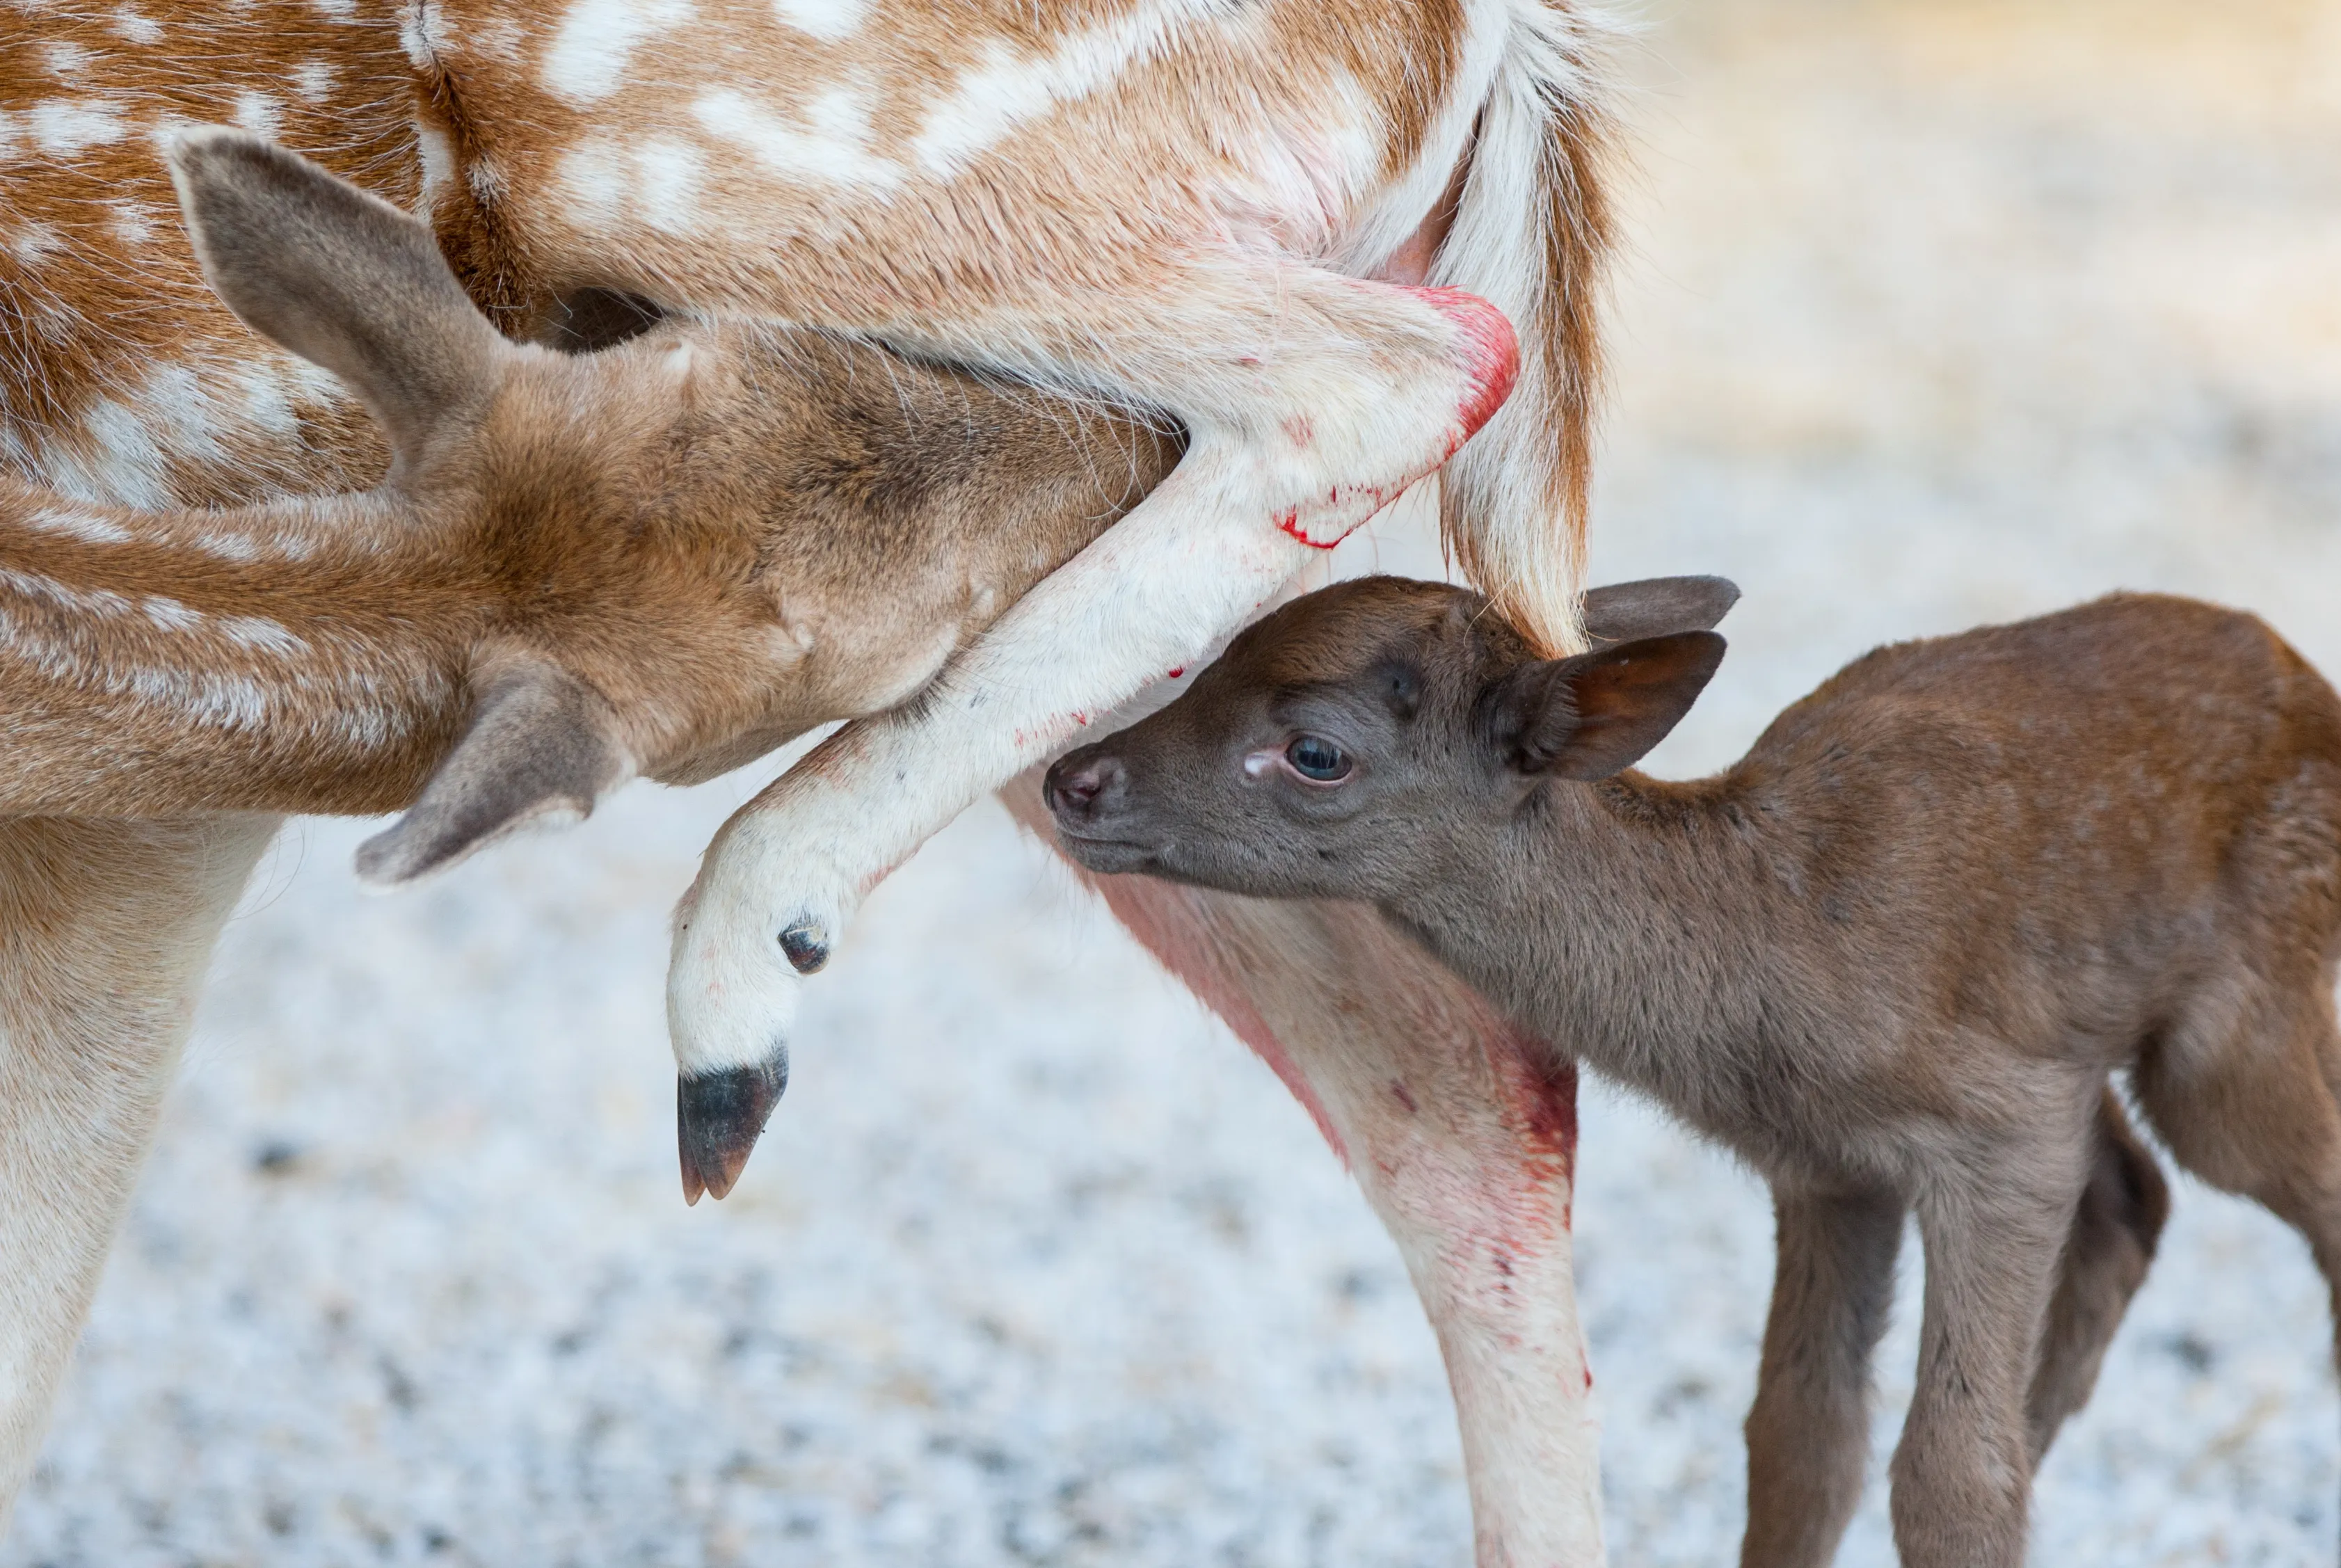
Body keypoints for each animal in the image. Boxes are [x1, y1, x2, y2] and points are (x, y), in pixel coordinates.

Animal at [2, 3, 1628, 1558]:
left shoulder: (153, 838)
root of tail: (1505, 39)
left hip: (673, 148)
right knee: (1458, 1080)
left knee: (1407, 368)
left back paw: (734, 980)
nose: (1104, 449)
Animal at [1041, 577, 2341, 1567]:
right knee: (2131, 1195)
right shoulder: (1829, 1168)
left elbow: (1949, 1472)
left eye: (1315, 750)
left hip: (2235, 1042)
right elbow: (1800, 1443)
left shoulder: (2001, 1126)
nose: (1073, 776)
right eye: (1212, 656)